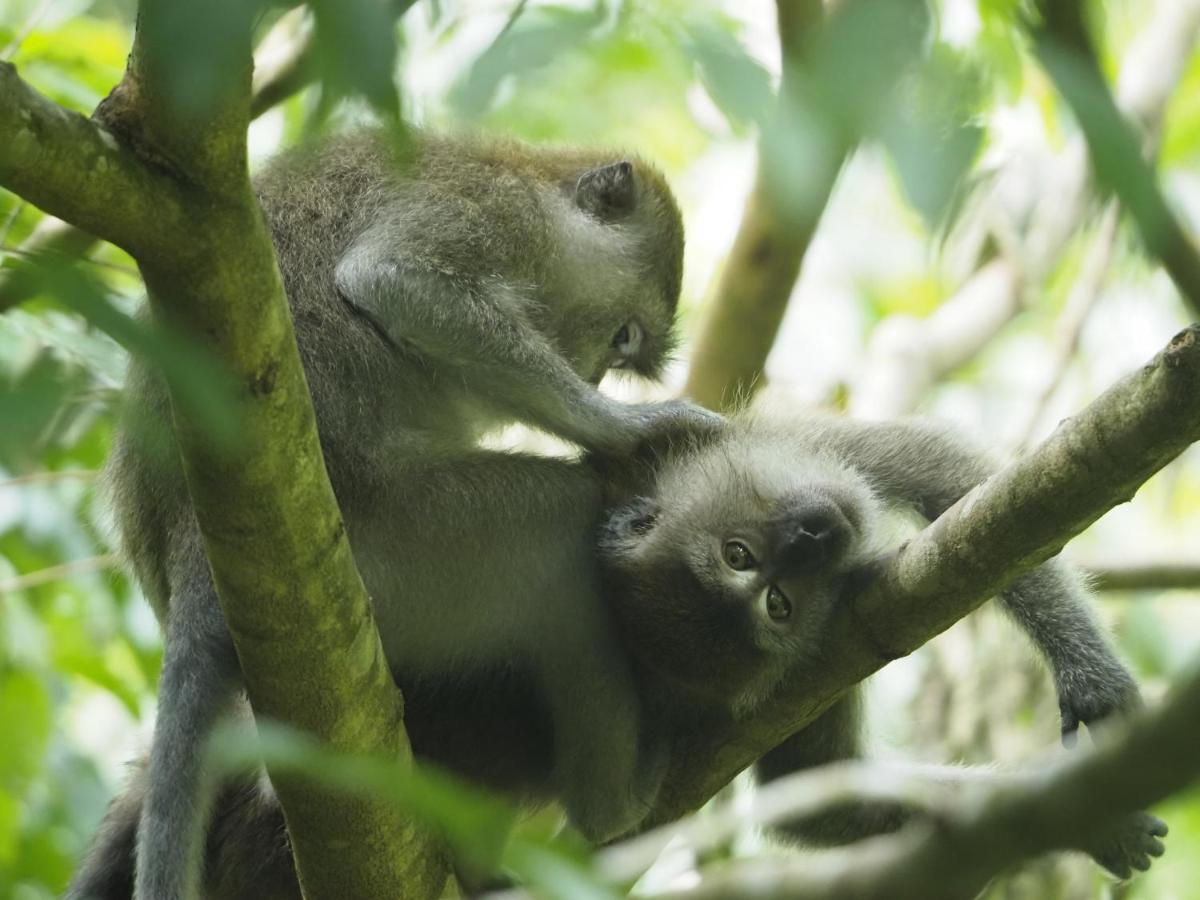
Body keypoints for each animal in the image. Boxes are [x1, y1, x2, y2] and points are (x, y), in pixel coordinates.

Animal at [103, 127, 715, 900]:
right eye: (624, 336)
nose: (597, 376)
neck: (530, 178)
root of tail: (194, 541)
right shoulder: (494, 214)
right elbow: (398, 284)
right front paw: (622, 427)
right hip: (407, 542)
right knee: (559, 530)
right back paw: (613, 804)